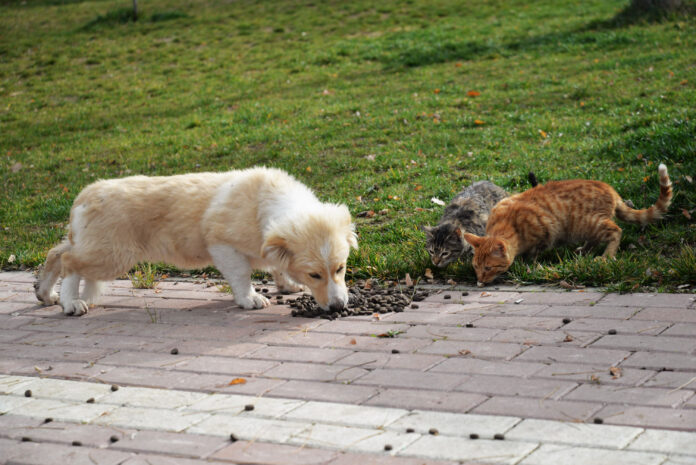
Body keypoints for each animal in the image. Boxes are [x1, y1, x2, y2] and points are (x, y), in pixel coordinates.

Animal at [34, 167, 356, 316]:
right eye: (315, 275)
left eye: (340, 269)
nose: (338, 307)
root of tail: (84, 195)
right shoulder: (223, 247)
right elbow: (242, 276)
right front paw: (250, 299)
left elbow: (276, 264)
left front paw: (287, 284)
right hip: (111, 254)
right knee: (69, 262)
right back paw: (71, 303)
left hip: (93, 244)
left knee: (56, 252)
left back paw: (46, 293)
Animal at [464, 163, 672, 286]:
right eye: (475, 267)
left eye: (488, 268)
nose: (479, 280)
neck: (509, 224)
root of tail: (611, 190)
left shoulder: (545, 233)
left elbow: (533, 254)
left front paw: (528, 264)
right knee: (596, 239)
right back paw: (584, 251)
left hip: (588, 223)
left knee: (615, 231)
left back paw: (606, 256)